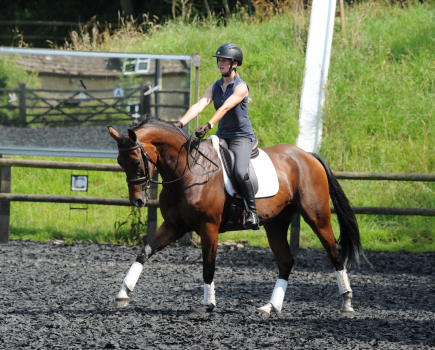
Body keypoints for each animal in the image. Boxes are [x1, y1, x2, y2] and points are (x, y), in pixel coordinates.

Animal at [107, 116, 366, 318]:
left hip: (316, 215)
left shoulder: (208, 227)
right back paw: (270, 307)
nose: (137, 201)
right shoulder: (173, 226)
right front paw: (122, 294)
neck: (188, 171)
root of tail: (308, 155)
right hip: (276, 223)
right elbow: (144, 252)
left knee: (334, 252)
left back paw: (347, 304)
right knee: (286, 261)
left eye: (136, 162)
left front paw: (208, 305)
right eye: (120, 162)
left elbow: (208, 267)